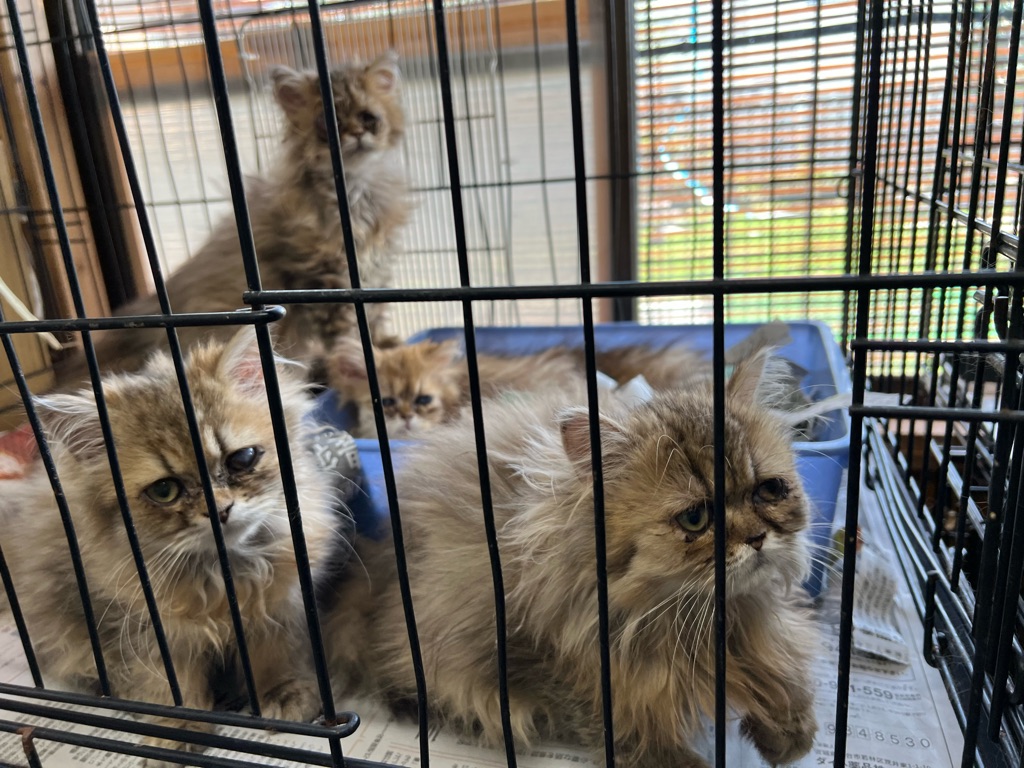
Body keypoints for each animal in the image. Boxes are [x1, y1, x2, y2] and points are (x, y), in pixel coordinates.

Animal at [3, 328, 342, 763]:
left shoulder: (279, 605)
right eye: (164, 490)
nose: (221, 510)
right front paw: (178, 729)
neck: (225, 573)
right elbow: (170, 685)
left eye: (243, 459)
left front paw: (283, 692)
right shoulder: (144, 630)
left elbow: (276, 654)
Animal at [54, 52, 409, 386]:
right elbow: (350, 334)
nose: (356, 134)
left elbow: (375, 319)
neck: (356, 194)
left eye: (369, 118)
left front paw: (386, 347)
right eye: (325, 124)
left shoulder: (372, 274)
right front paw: (363, 361)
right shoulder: (327, 284)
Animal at [324, 348, 819, 767]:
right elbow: (626, 731)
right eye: (695, 518)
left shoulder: (759, 621)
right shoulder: (554, 661)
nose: (757, 538)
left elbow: (785, 666)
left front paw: (789, 733)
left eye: (769, 491)